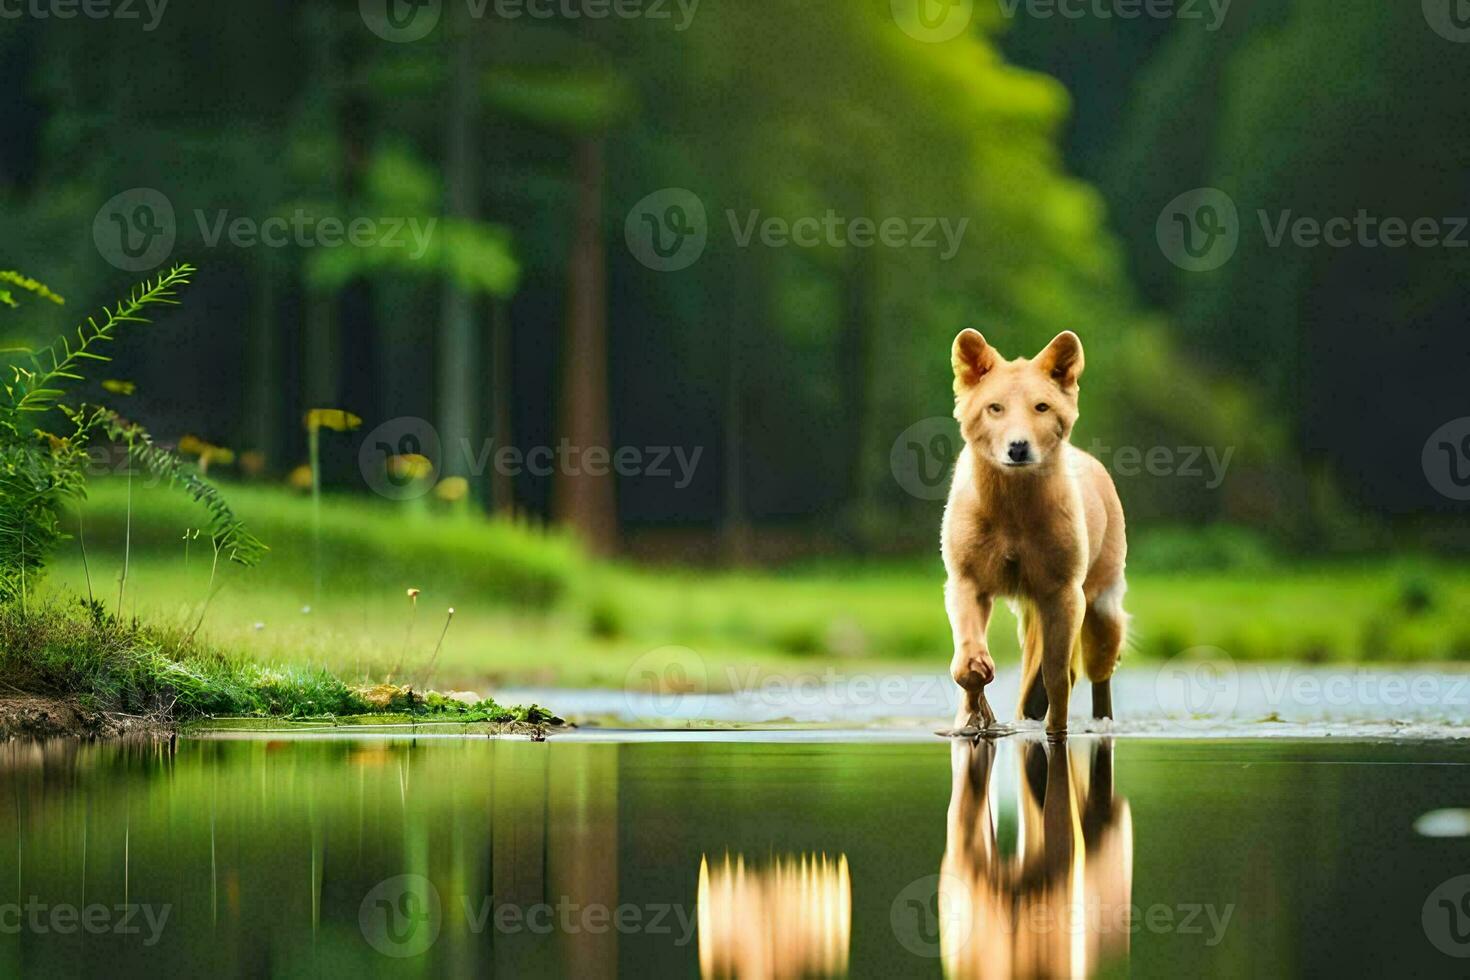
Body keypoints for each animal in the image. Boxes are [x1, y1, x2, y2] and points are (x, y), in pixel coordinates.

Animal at [934, 329, 1128, 734]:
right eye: (994, 407)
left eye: (1042, 407)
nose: (1019, 447)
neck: (1012, 509)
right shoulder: (967, 580)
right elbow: (967, 665)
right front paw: (975, 715)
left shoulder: (1063, 592)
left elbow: (1057, 677)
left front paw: (1051, 723)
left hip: (1102, 604)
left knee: (1099, 673)